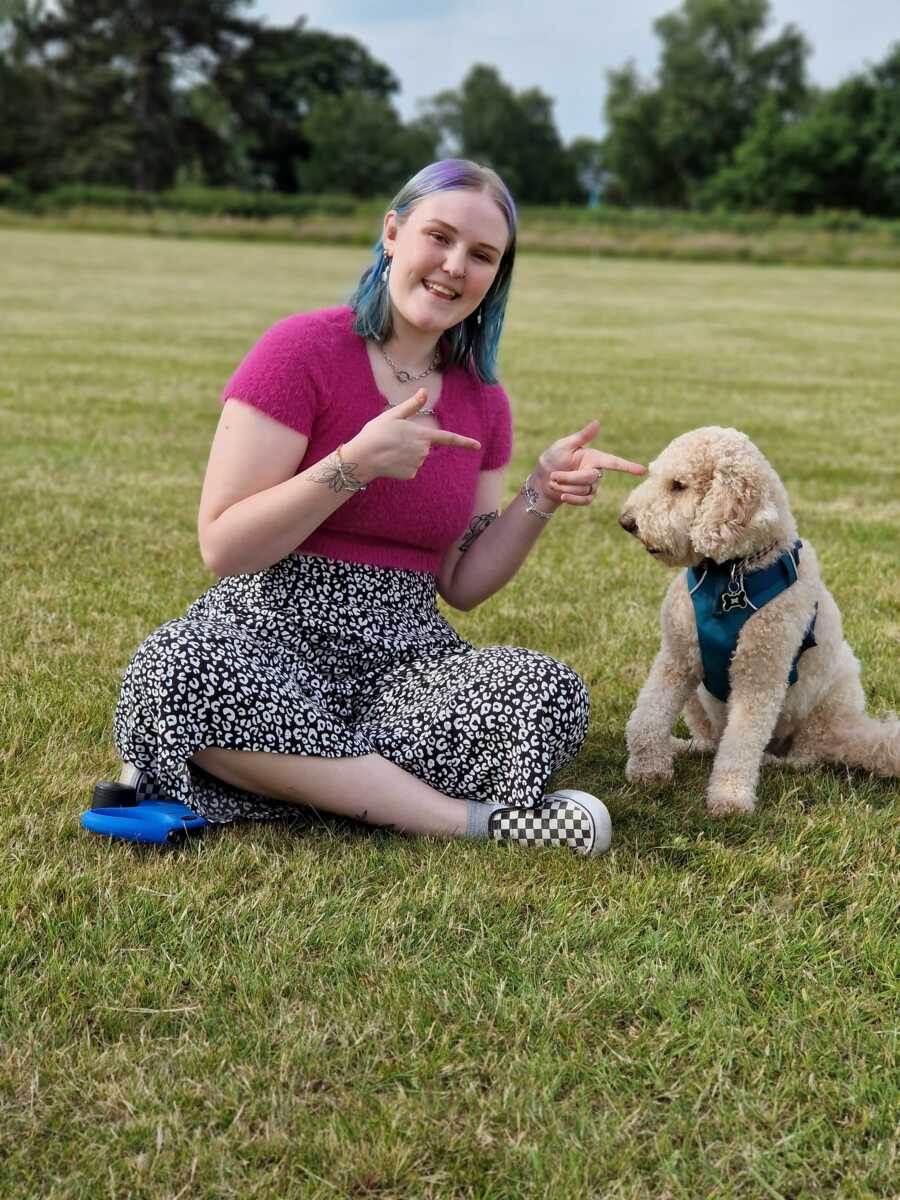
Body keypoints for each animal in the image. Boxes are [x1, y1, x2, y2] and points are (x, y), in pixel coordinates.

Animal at [619, 427, 900, 820]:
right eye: (655, 476)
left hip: (828, 703)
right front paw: (648, 770)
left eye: (679, 486)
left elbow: (740, 744)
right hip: (697, 700)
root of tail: (854, 730)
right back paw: (684, 747)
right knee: (711, 742)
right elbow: (647, 718)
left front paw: (730, 799)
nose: (626, 522)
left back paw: (773, 761)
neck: (730, 575)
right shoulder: (676, 658)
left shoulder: (759, 677)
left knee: (806, 758)